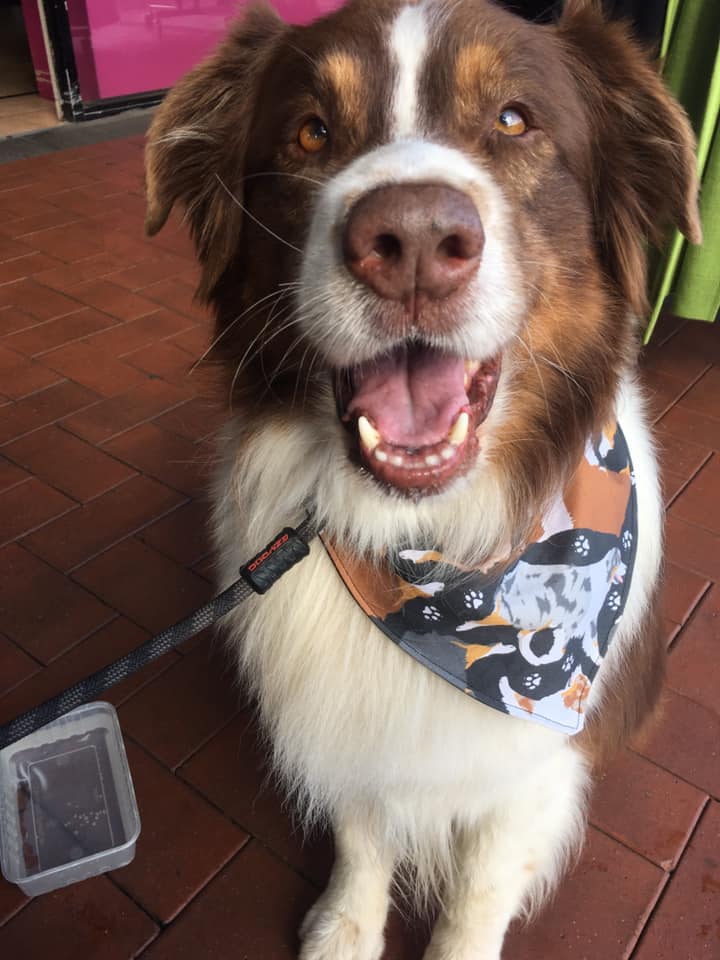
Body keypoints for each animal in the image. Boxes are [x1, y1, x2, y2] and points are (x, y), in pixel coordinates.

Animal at [143, 3, 700, 956]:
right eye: (310, 131)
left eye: (514, 120)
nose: (410, 244)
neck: (430, 541)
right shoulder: (361, 735)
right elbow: (364, 829)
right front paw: (348, 925)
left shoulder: (529, 763)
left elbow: (478, 888)